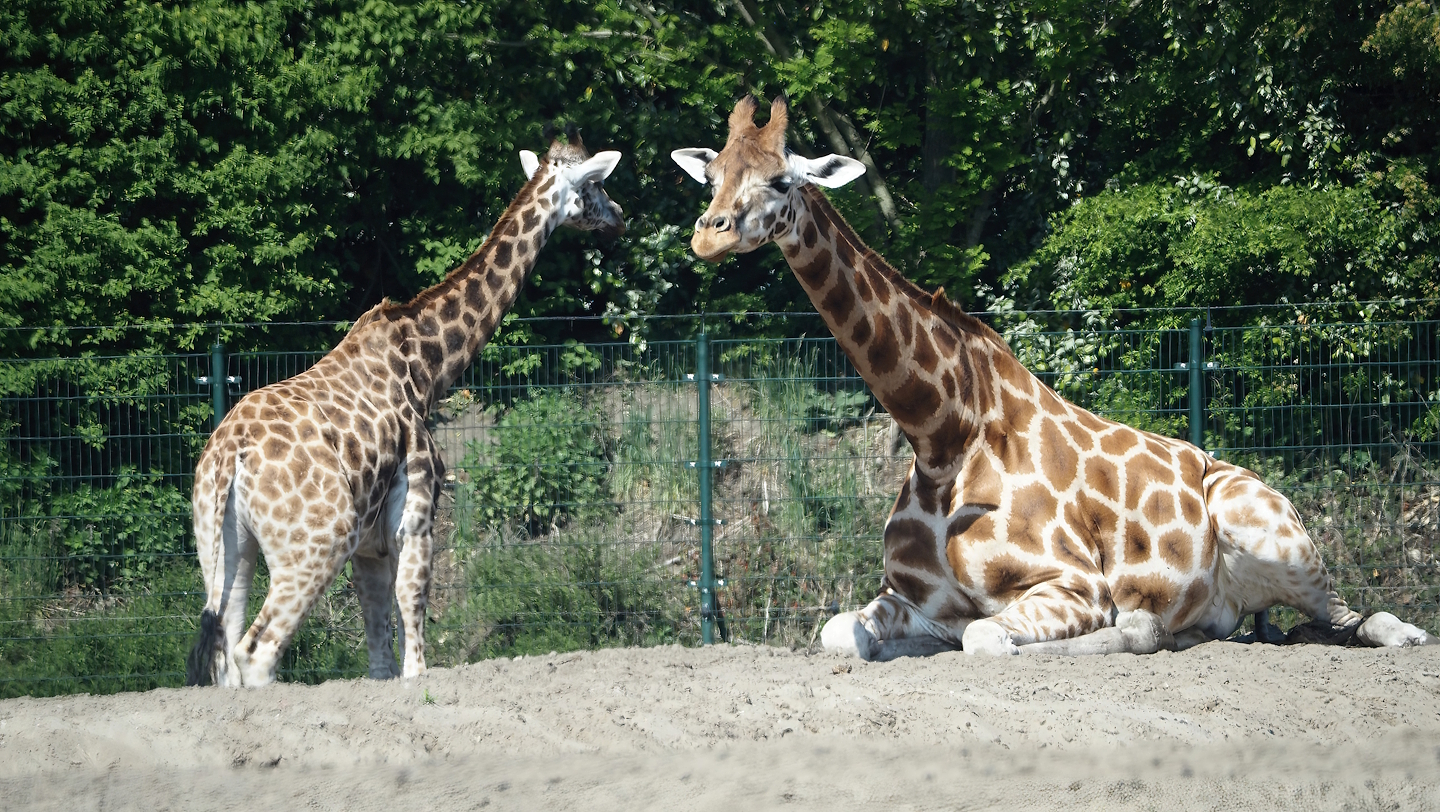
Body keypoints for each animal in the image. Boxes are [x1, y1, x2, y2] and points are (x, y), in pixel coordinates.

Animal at [187, 133, 625, 687]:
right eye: (596, 185)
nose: (620, 217)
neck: (427, 366)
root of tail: (230, 454)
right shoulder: (416, 512)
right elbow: (412, 617)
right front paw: (420, 678)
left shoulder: (369, 544)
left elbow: (378, 642)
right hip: (317, 542)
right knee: (257, 652)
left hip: (224, 548)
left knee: (227, 650)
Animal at [671, 96, 1432, 658]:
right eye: (713, 175)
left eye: (781, 180)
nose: (707, 234)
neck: (941, 436)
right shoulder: (911, 599)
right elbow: (838, 633)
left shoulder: (1072, 584)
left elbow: (987, 638)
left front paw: (1121, 628)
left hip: (1273, 529)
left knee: (1353, 615)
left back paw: (1400, 633)